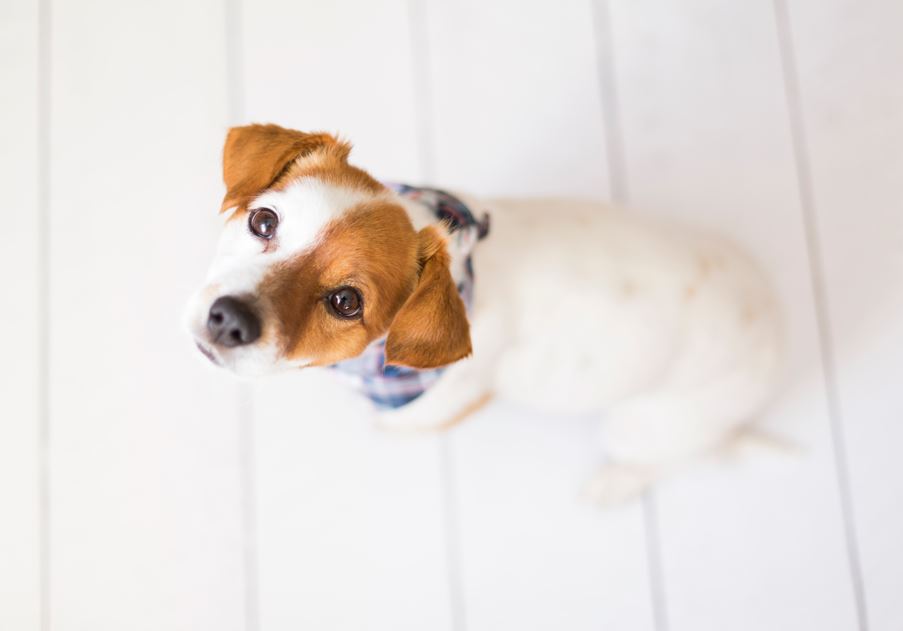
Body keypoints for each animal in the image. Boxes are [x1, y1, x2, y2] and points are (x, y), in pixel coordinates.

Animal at [189, 123, 784, 506]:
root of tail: (778, 324)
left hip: (641, 426)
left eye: (346, 302)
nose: (228, 318)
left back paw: (616, 483)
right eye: (264, 221)